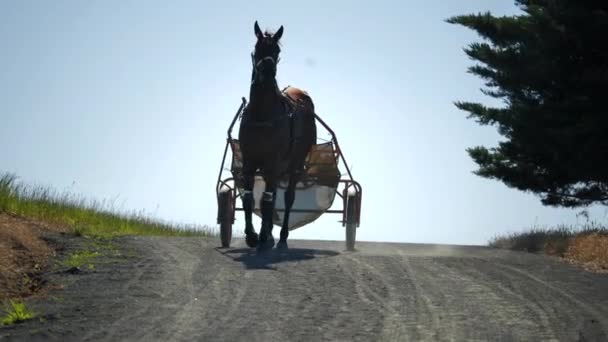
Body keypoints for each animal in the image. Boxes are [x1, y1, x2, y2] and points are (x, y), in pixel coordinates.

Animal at [236, 21, 316, 251]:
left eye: (277, 51)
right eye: (258, 47)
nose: (268, 71)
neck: (262, 113)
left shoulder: (273, 161)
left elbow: (267, 200)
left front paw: (263, 236)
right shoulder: (249, 161)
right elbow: (249, 199)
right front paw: (252, 236)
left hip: (294, 164)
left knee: (287, 197)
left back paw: (281, 238)